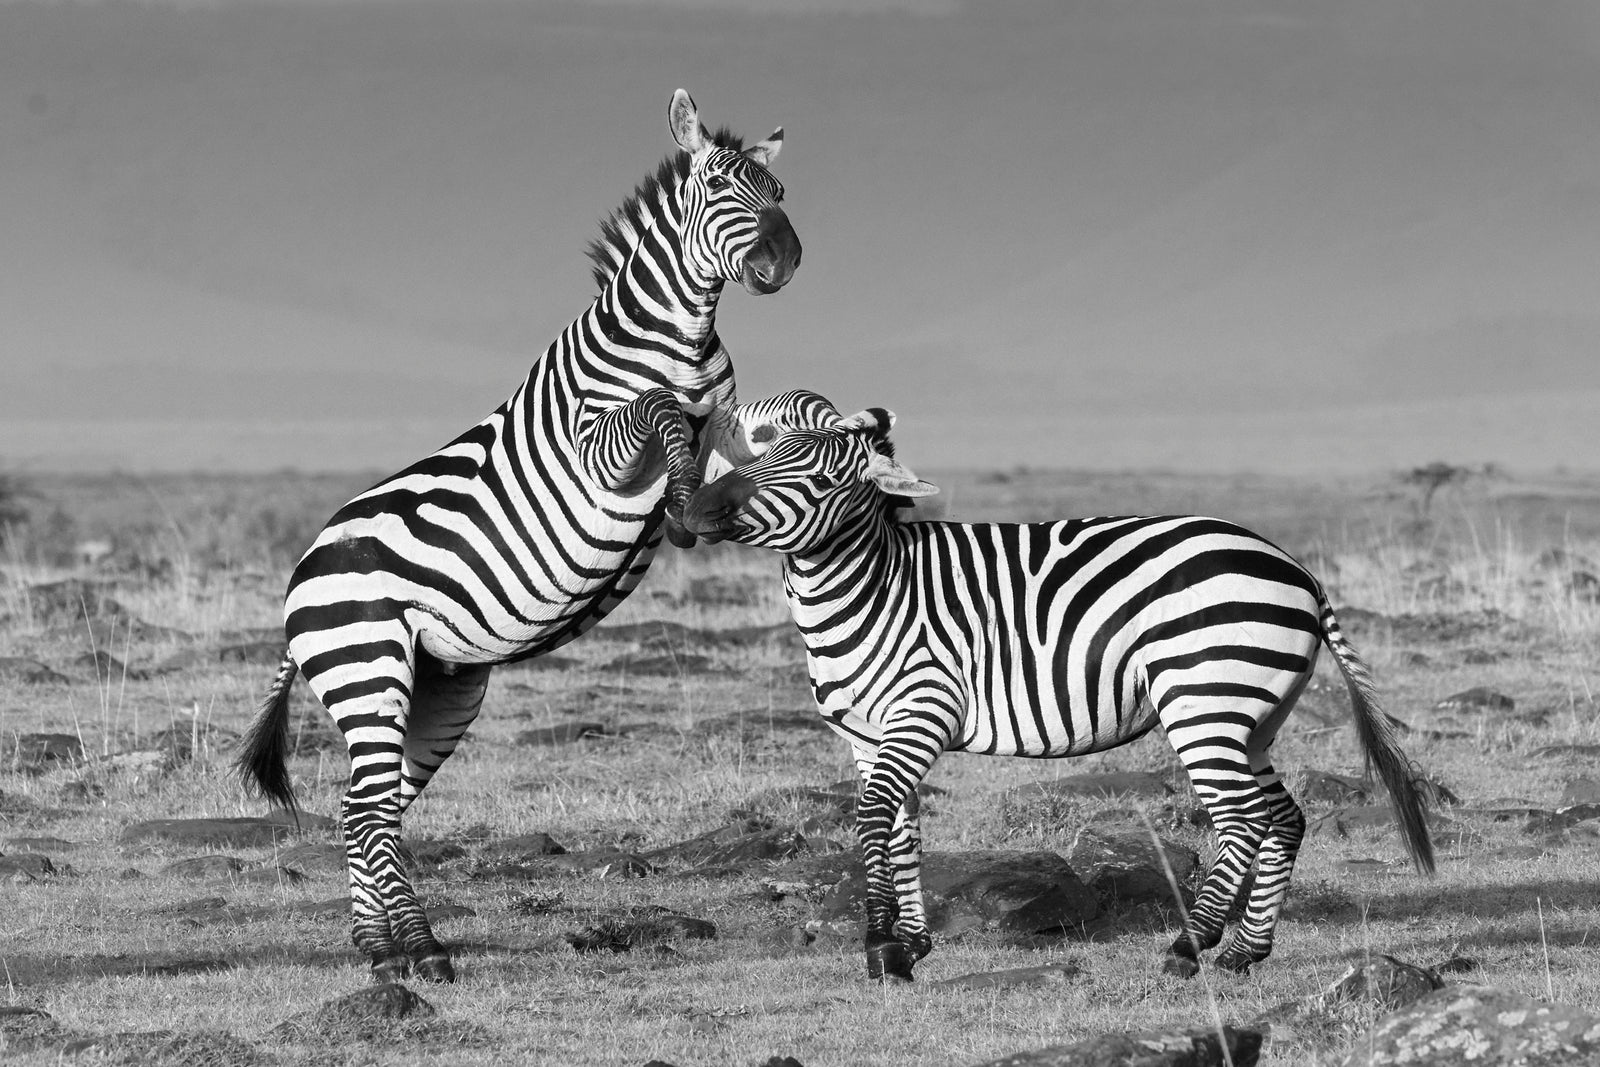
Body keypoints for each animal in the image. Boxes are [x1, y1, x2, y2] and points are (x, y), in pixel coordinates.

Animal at [235, 89, 801, 984]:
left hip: (443, 686)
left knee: (367, 809)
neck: (682, 340)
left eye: (778, 189)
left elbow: (738, 435)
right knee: (367, 809)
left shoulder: (722, 417)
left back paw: (382, 948)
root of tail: (299, 578)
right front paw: (682, 503)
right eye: (719, 186)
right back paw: (420, 949)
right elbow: (660, 410)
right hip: (367, 665)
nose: (786, 261)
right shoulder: (597, 444)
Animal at [682, 397, 1435, 982]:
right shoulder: (865, 737)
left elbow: (871, 820)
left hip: (1204, 705)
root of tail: (1297, 569)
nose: (693, 507)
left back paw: (1189, 947)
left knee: (1244, 819)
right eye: (768, 450)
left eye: (815, 473)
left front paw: (880, 949)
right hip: (1252, 716)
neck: (875, 589)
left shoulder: (923, 710)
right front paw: (911, 945)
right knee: (1285, 818)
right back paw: (1243, 952)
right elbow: (901, 830)